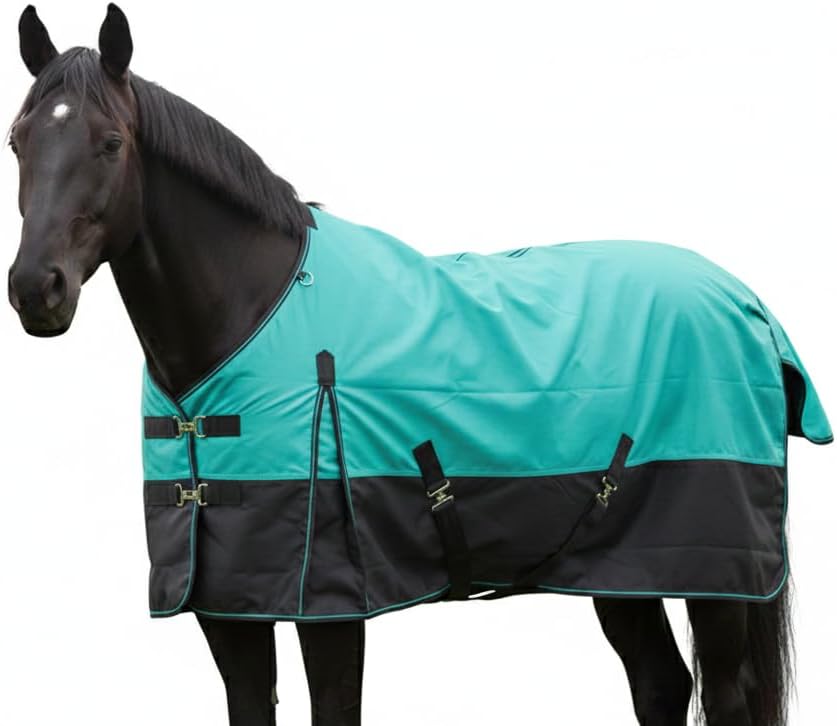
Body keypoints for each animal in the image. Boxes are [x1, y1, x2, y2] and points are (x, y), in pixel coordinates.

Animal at [7, 5, 831, 725]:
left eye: (111, 142)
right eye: (17, 140)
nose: (34, 289)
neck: (252, 311)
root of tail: (746, 302)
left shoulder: (330, 601)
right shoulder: (226, 600)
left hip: (716, 577)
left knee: (721, 696)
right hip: (622, 568)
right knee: (660, 685)